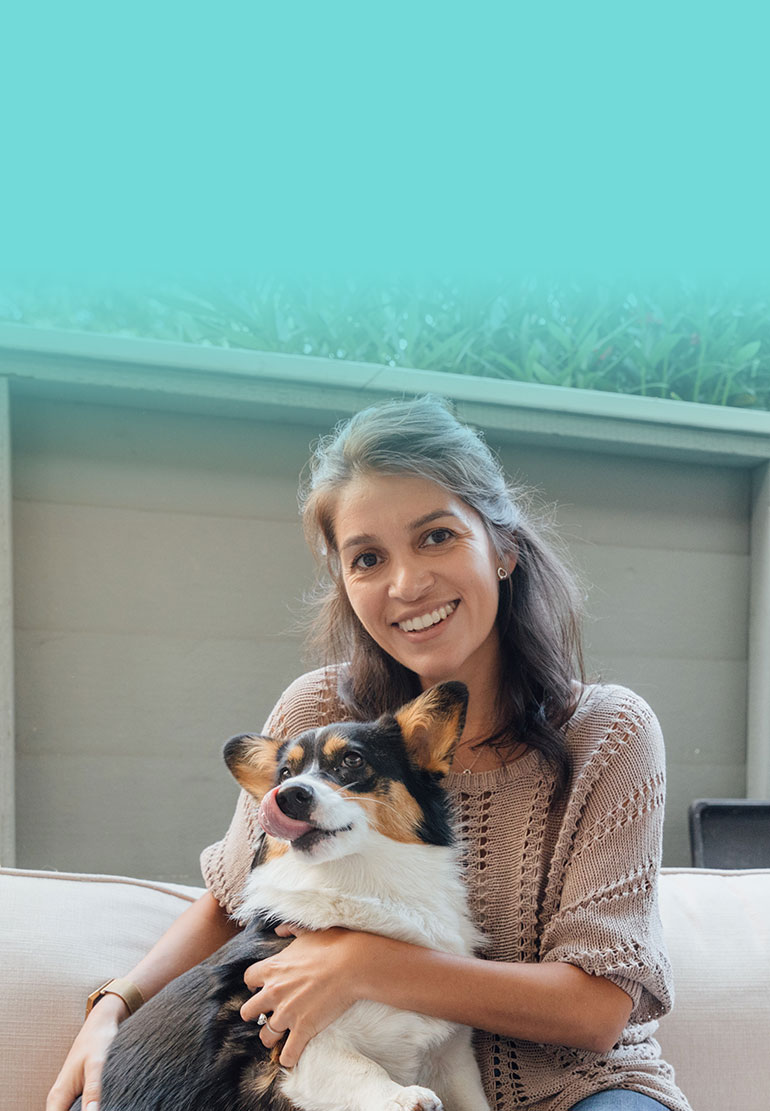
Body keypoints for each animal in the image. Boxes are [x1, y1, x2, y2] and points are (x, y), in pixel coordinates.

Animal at [76, 679, 486, 1111]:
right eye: (285, 773)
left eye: (352, 760)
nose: (288, 795)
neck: (359, 883)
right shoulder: (283, 1037)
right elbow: (356, 1065)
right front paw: (403, 1096)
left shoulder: (452, 1059)